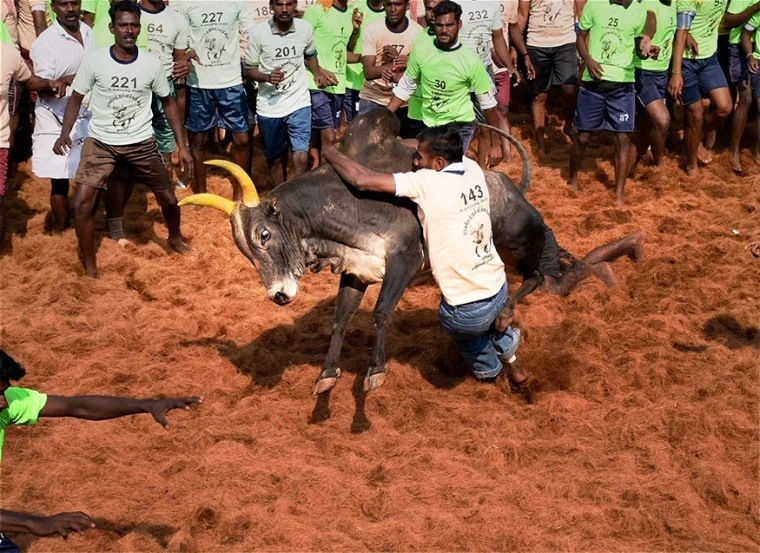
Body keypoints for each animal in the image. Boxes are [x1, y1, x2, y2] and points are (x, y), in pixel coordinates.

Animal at [180, 109, 640, 392]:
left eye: (264, 235)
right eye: (244, 250)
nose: (278, 295)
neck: (347, 205)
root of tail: (513, 187)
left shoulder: (403, 262)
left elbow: (381, 314)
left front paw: (375, 371)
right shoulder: (356, 272)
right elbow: (339, 320)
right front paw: (327, 374)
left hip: (522, 239)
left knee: (541, 278)